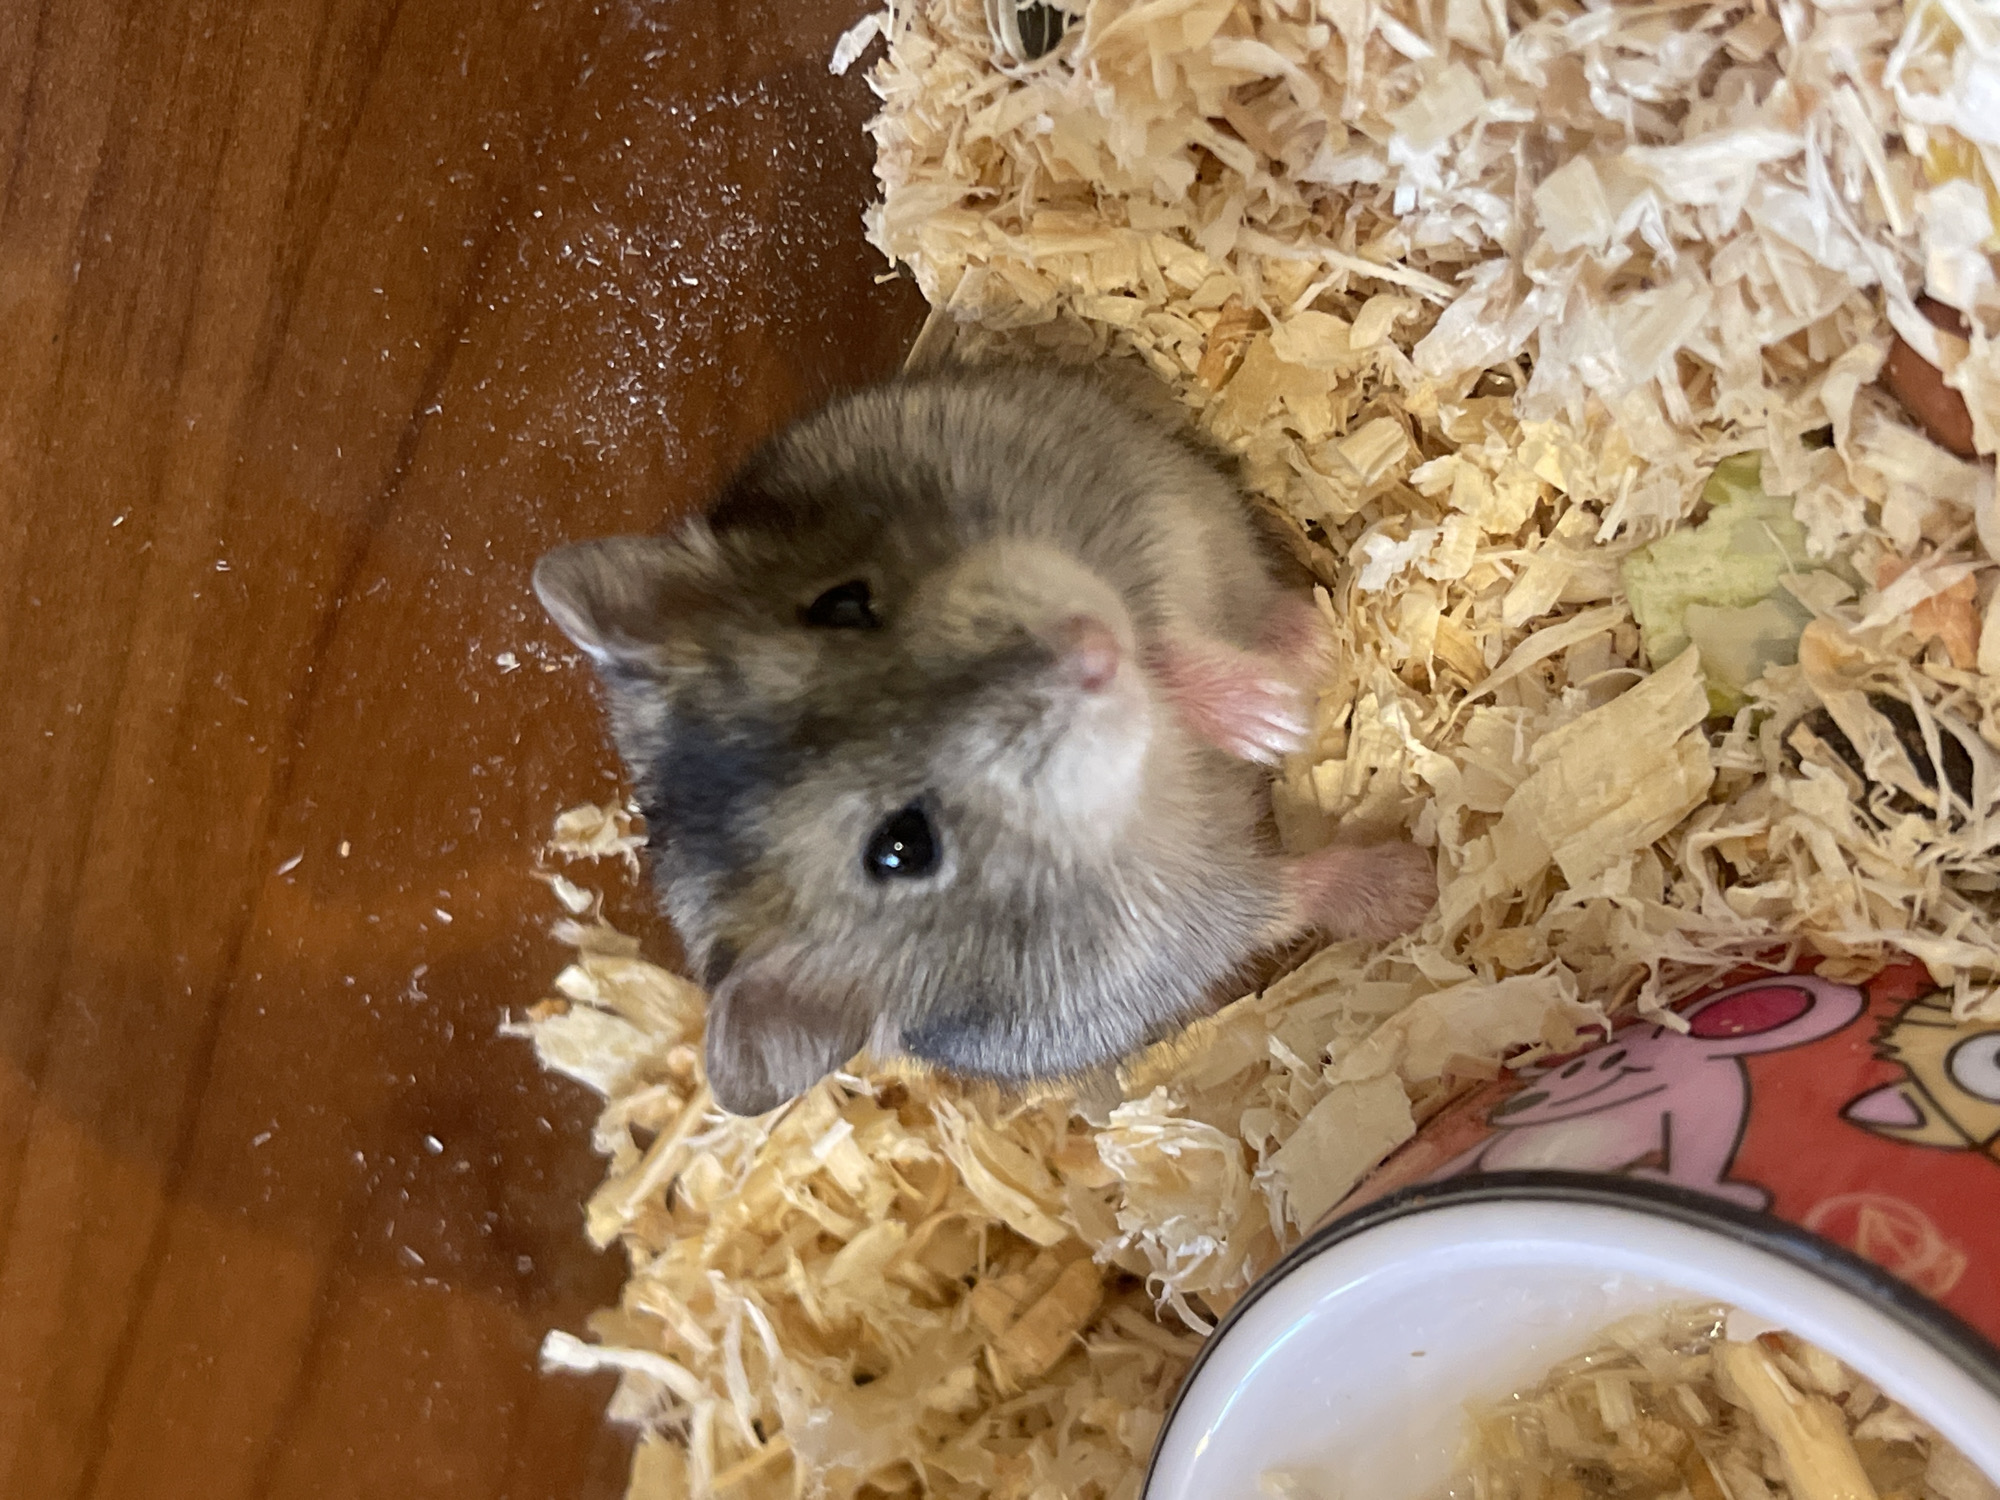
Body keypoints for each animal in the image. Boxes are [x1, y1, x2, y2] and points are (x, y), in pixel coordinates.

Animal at [534, 363, 1436, 1115]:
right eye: (902, 848)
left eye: (842, 604)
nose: (1089, 649)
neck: (1131, 793)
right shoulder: (1172, 934)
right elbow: (1288, 895)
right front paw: (1407, 881)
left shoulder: (1113, 522)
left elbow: (1159, 633)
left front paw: (1279, 699)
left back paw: (1301, 631)